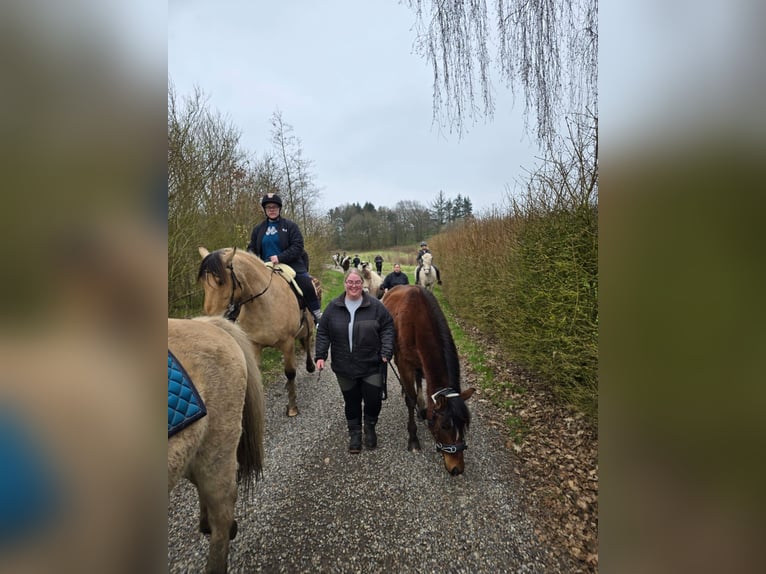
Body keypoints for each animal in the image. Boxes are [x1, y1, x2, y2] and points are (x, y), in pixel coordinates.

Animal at [201, 248, 318, 418]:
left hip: (307, 328)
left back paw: (310, 366)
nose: (212, 319)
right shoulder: (254, 345)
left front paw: (292, 407)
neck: (264, 303)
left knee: (308, 342)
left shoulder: (288, 343)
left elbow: (290, 372)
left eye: (220, 281)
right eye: (204, 283)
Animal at [382, 284, 476, 476]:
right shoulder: (405, 363)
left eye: (464, 425)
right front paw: (413, 438)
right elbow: (410, 400)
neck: (418, 320)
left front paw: (422, 407)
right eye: (444, 427)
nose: (457, 469)